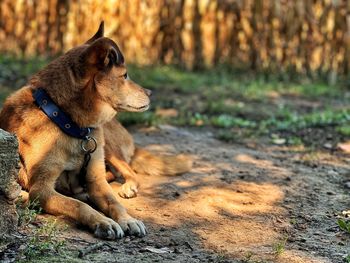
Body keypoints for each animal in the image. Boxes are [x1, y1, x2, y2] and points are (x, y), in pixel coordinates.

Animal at [0, 21, 191, 240]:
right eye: (125, 75)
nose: (150, 93)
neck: (67, 121)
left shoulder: (96, 180)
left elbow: (114, 203)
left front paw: (128, 220)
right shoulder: (41, 189)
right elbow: (79, 205)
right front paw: (103, 221)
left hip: (108, 147)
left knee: (130, 171)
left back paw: (125, 186)